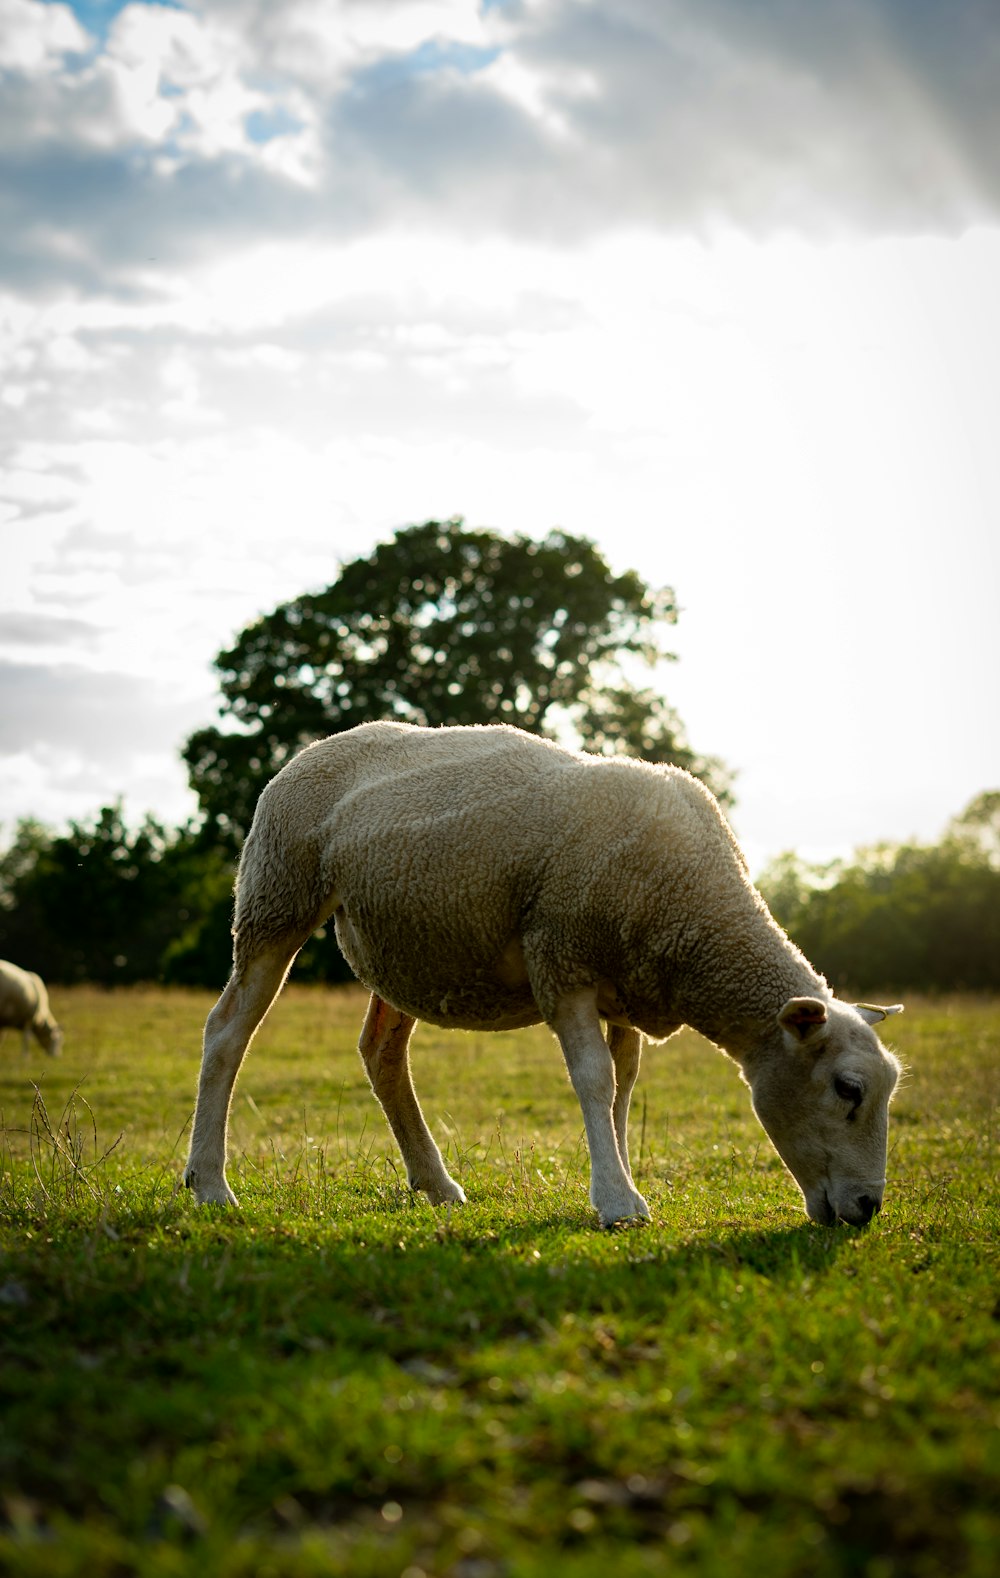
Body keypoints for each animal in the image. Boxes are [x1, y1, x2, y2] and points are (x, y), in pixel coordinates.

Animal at [181, 722, 902, 1224]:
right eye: (848, 1089)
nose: (869, 1210)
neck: (695, 915)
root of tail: (315, 748)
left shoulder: (625, 984)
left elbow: (623, 1087)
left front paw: (623, 1178)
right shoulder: (563, 959)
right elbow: (593, 1080)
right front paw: (617, 1201)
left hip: (409, 943)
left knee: (381, 1052)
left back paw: (435, 1183)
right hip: (278, 893)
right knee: (226, 1032)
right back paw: (210, 1183)